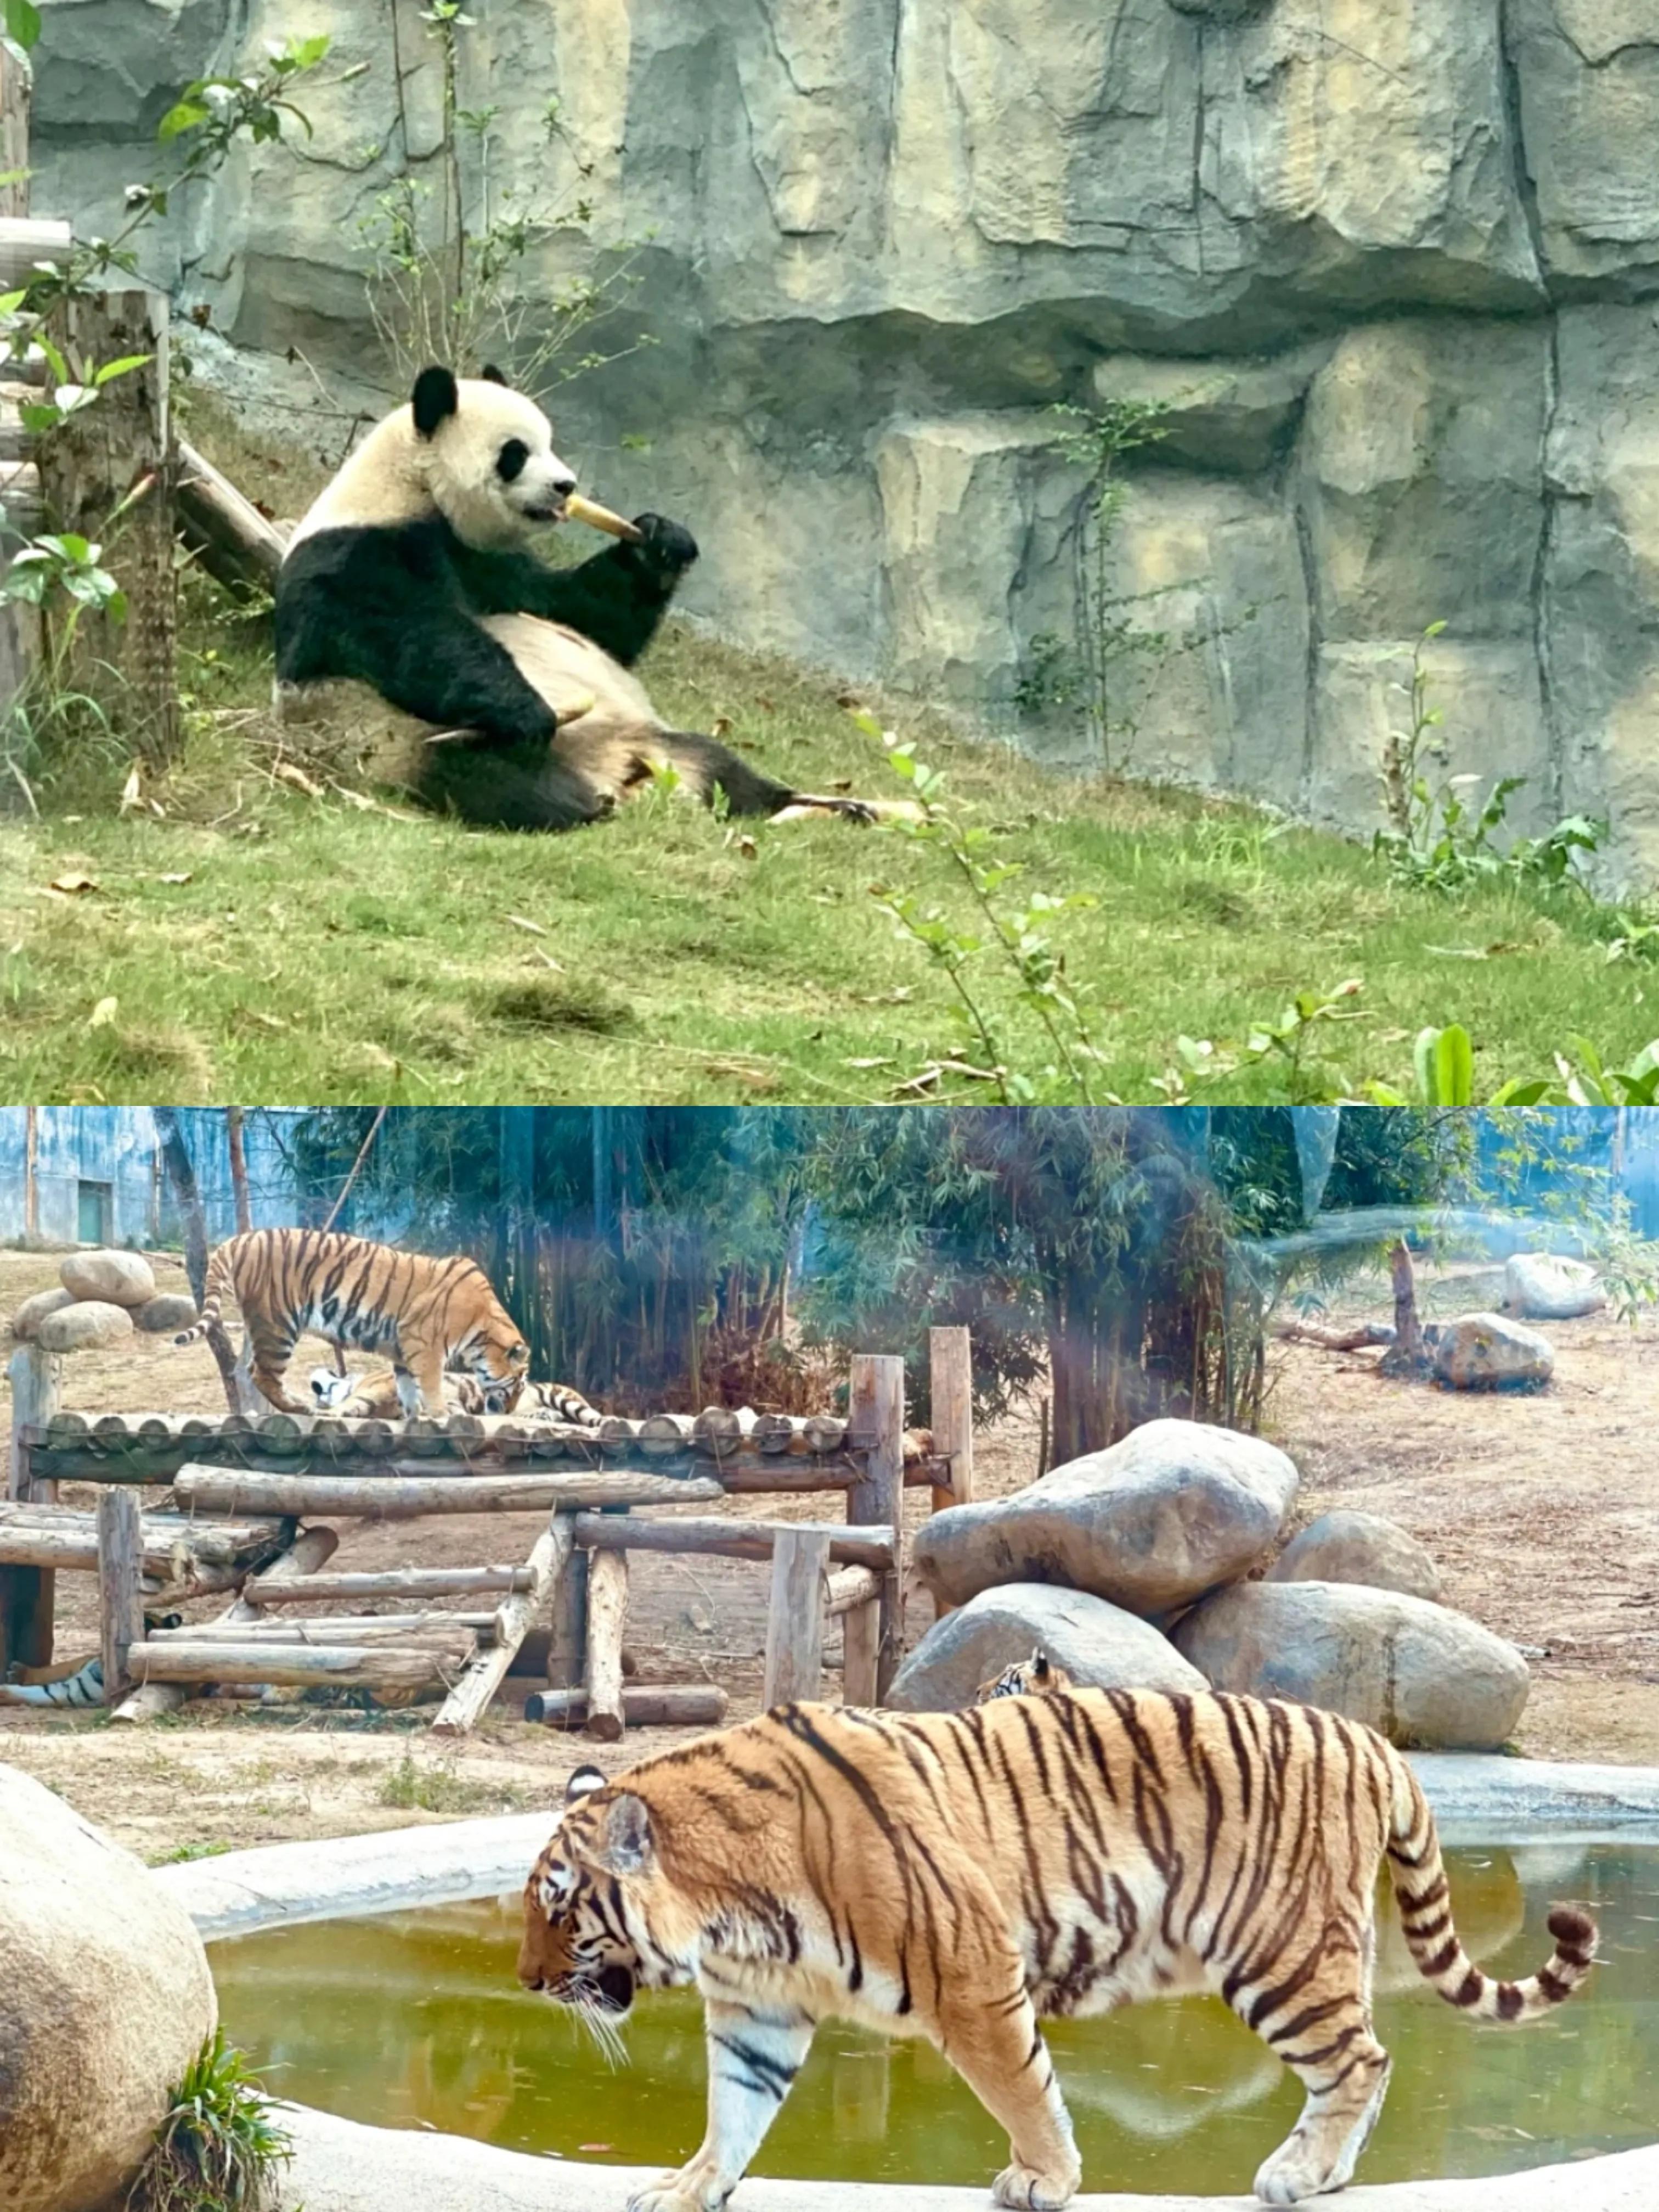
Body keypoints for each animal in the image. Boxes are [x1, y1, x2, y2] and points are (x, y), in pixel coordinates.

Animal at [276, 363, 898, 832]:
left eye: (551, 443)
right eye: (517, 453)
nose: (566, 486)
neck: (413, 488)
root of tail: (620, 770)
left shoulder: (493, 563)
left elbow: (583, 614)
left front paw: (660, 543)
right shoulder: (361, 551)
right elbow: (409, 636)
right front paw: (523, 708)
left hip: (655, 737)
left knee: (724, 771)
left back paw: (827, 807)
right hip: (400, 741)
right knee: (489, 778)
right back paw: (582, 801)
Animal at [520, 1681, 1601, 2203]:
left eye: (563, 1910)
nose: (527, 1983)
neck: (731, 1915)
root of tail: (1372, 1740)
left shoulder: (970, 1969)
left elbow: (1021, 2086)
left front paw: (1043, 2178)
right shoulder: (759, 2009)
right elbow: (733, 2112)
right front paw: (686, 2190)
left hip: (1280, 1953)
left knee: (1361, 2059)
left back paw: (1298, 2174)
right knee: (1368, 2059)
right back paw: (1324, 2174)